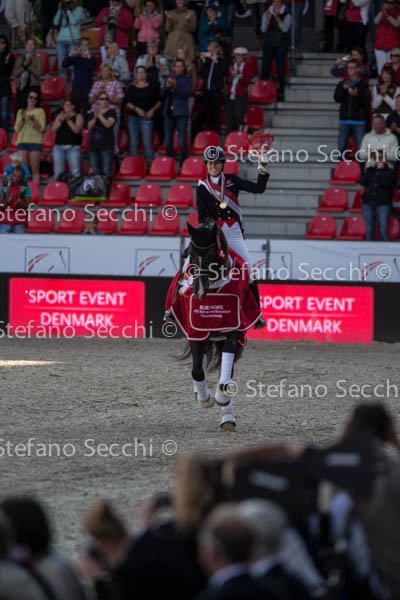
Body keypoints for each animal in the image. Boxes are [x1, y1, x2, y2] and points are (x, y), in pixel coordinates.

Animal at [165, 219, 261, 431]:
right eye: (191, 253)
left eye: (211, 253)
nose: (199, 291)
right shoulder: (195, 332)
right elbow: (196, 370)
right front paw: (204, 399)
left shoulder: (233, 332)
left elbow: (225, 377)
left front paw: (221, 399)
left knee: (226, 371)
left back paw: (227, 415)